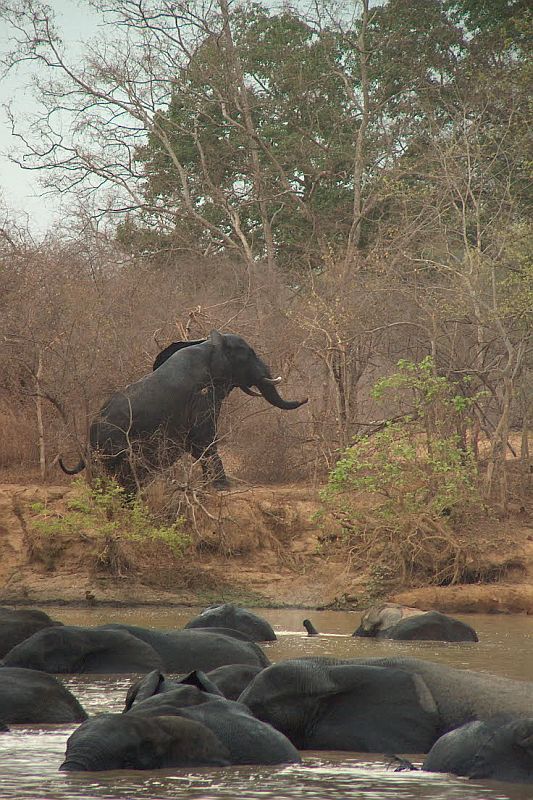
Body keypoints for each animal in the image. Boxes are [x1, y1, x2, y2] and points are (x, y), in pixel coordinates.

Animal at [58, 328, 306, 490]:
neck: (208, 344)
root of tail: (90, 436)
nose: (306, 399)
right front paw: (223, 487)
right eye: (250, 355)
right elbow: (204, 439)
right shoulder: (201, 396)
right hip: (116, 445)